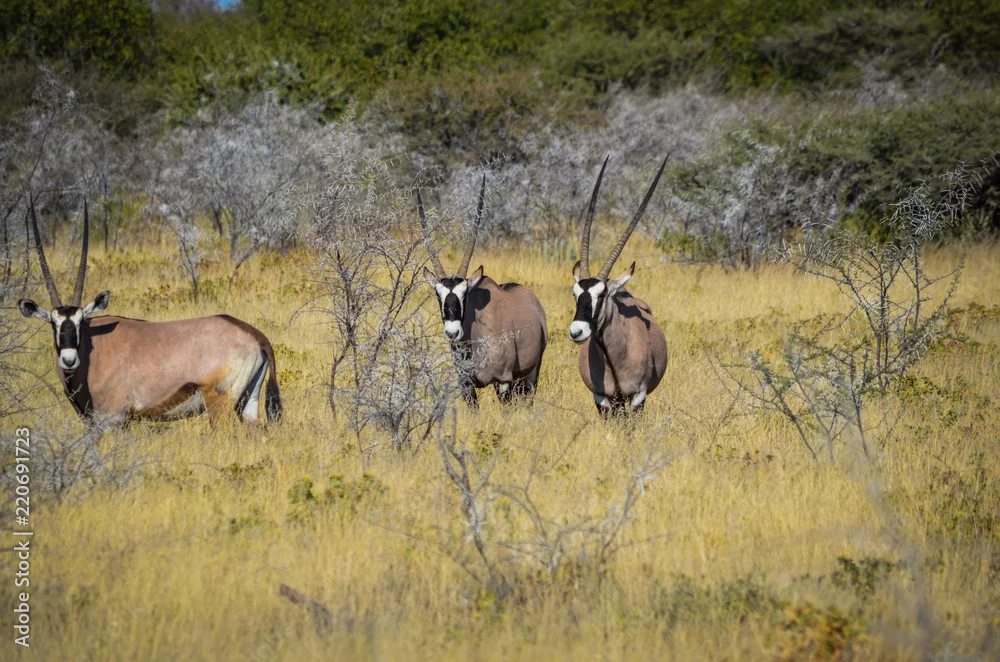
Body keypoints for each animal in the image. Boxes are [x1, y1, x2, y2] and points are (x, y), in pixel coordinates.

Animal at [18, 198, 282, 426]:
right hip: (248, 402)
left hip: (218, 404)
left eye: (81, 320)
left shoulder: (111, 421)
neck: (93, 350)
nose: (69, 359)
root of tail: (255, 335)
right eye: (53, 322)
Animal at [419, 177, 548, 407]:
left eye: (465, 294)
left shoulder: (503, 381)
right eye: (438, 295)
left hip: (531, 375)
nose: (452, 333)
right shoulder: (466, 383)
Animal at [569, 156, 669, 417]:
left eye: (602, 294)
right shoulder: (602, 398)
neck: (613, 355)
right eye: (575, 293)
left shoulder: (637, 397)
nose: (576, 332)